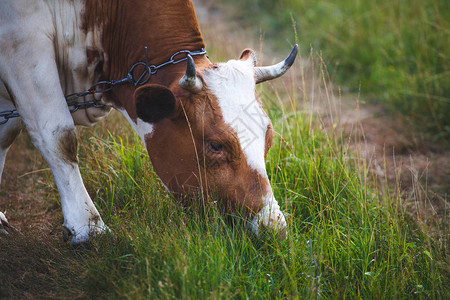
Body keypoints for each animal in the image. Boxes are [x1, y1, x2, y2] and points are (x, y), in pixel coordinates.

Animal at [0, 0, 298, 244]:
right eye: (215, 145)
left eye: (268, 137)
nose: (274, 228)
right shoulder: (22, 44)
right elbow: (59, 137)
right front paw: (88, 227)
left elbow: (6, 135)